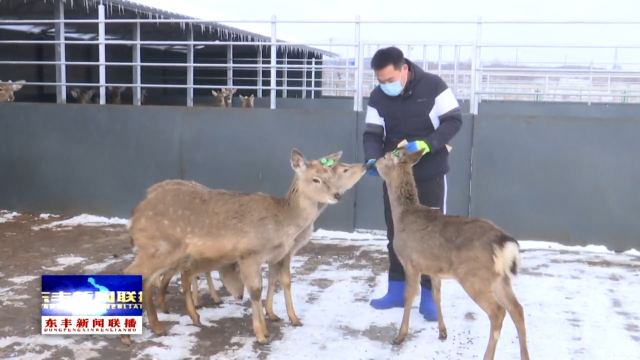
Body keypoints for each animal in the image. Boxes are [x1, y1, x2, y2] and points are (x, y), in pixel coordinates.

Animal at [264, 160, 368, 324]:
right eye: (345, 169)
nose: (364, 165)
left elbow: (272, 278)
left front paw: (271, 313)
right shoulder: (284, 252)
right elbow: (285, 280)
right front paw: (293, 318)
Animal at [372, 146, 528, 360]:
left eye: (386, 156)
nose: (374, 162)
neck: (403, 216)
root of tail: (504, 244)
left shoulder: (410, 262)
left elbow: (409, 296)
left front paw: (400, 336)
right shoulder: (433, 268)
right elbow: (436, 295)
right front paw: (442, 332)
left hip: (475, 277)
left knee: (498, 312)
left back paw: (487, 356)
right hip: (501, 279)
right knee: (517, 309)